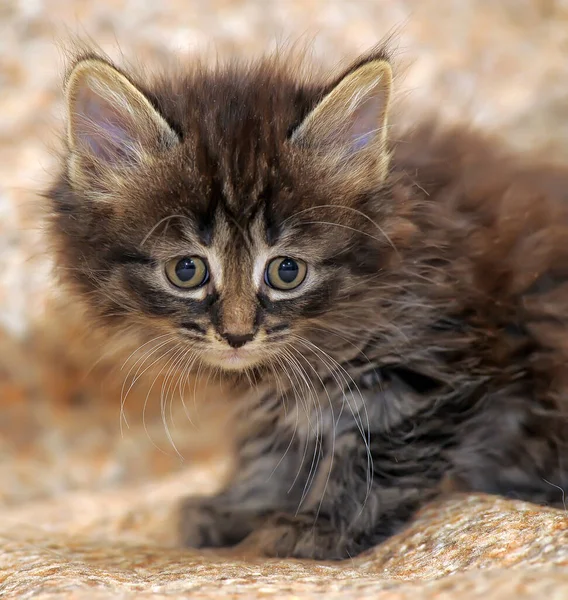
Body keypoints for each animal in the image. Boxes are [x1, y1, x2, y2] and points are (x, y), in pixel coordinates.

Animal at [44, 44, 568, 560]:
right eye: (187, 270)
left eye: (286, 271)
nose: (237, 335)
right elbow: (274, 447)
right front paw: (243, 505)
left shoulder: (424, 371)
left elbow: (375, 456)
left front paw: (324, 525)